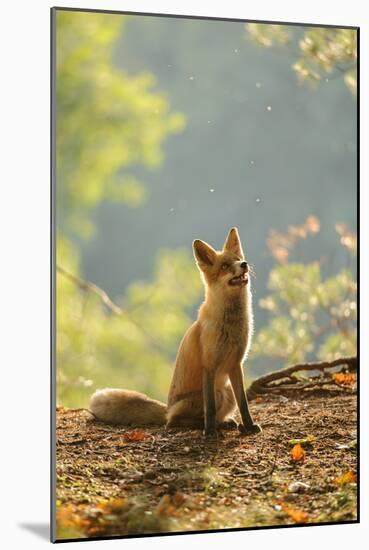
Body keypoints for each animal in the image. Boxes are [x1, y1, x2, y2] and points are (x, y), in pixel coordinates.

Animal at [89, 226, 260, 438]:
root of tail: (168, 407)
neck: (230, 325)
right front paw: (209, 432)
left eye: (238, 258)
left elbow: (244, 404)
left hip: (226, 392)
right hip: (216, 394)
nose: (244, 264)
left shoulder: (236, 364)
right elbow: (210, 408)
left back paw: (225, 422)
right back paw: (204, 426)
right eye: (225, 266)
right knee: (174, 422)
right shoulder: (209, 365)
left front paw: (249, 426)